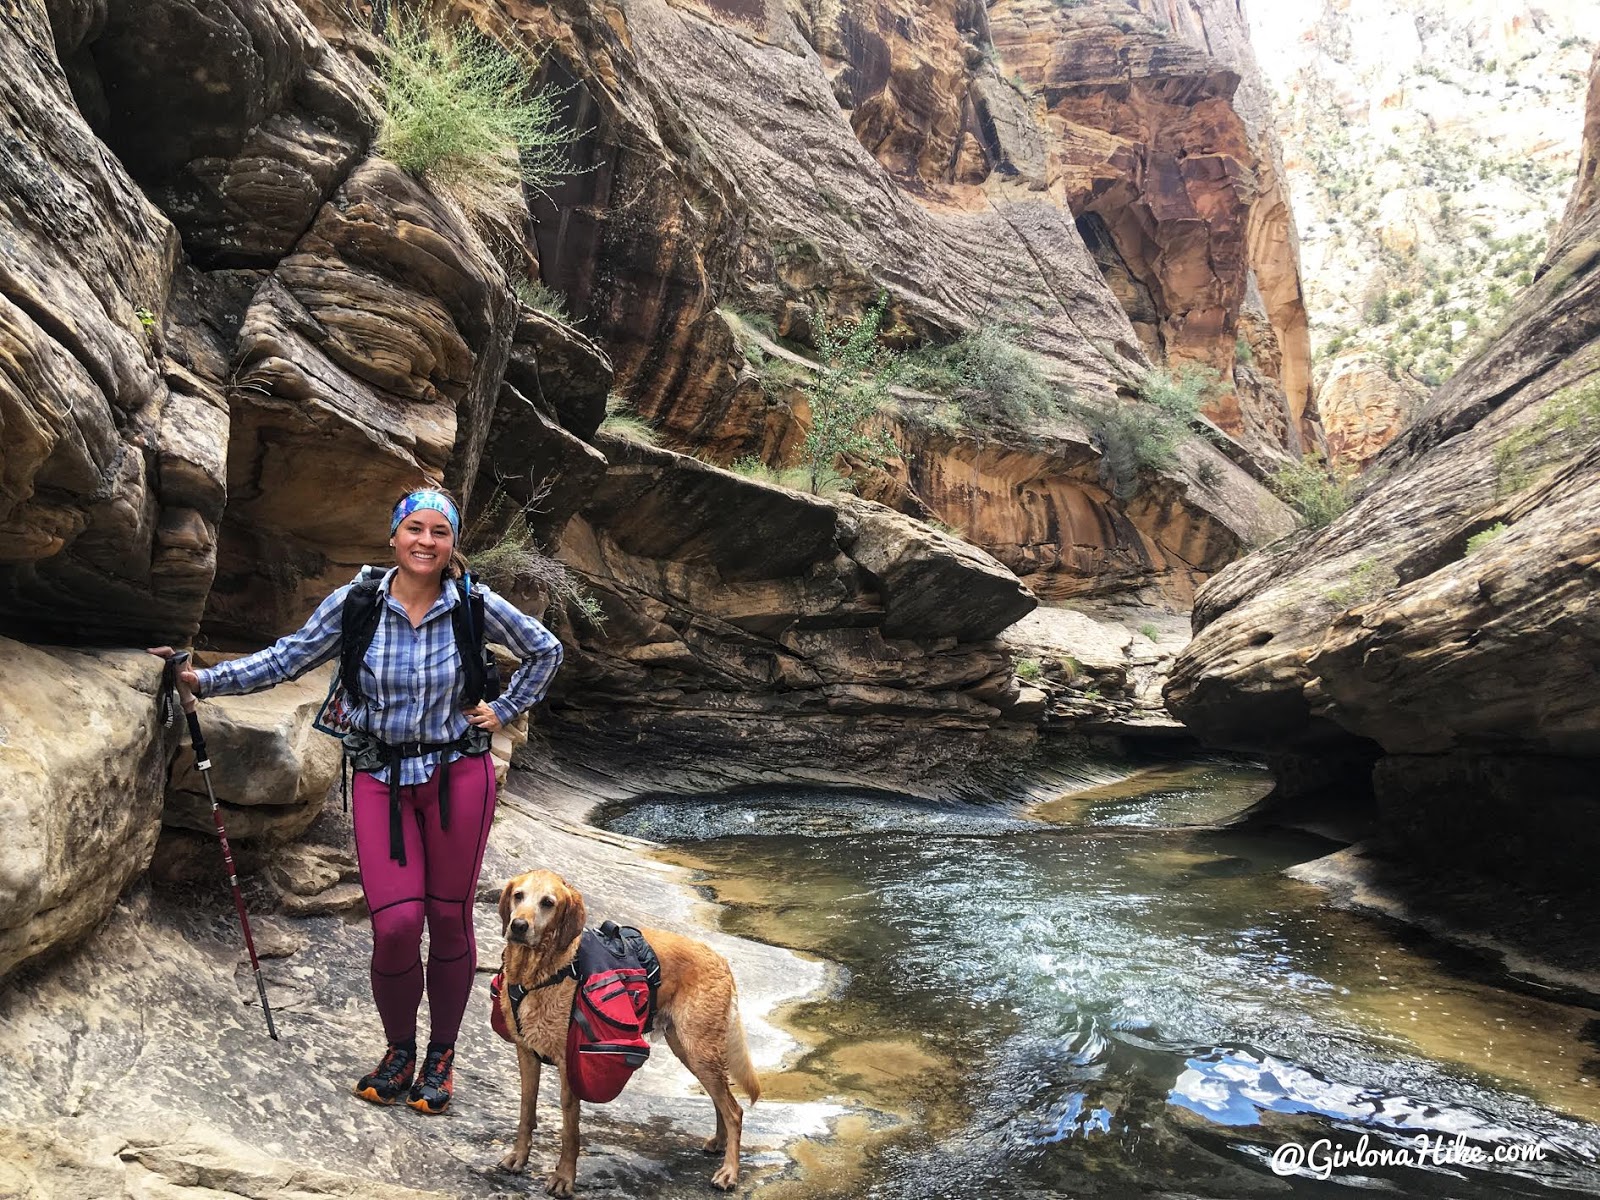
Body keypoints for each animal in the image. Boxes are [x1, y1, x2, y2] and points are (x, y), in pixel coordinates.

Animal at [492, 870, 761, 1196]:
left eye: (548, 903)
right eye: (518, 895)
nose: (518, 926)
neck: (540, 973)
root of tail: (720, 959)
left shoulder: (571, 1065)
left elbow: (570, 1130)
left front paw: (564, 1178)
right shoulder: (526, 1053)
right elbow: (526, 1111)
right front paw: (519, 1157)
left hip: (699, 1050)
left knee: (734, 1111)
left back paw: (729, 1172)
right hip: (689, 1051)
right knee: (721, 1100)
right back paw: (720, 1143)